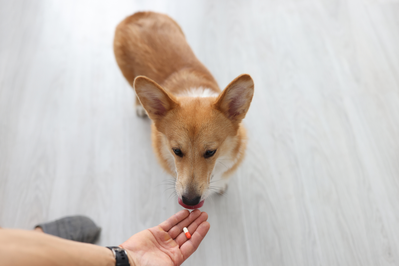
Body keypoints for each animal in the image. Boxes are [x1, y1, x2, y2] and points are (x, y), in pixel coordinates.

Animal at [114, 11, 255, 209]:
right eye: (176, 151)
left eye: (211, 152)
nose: (190, 201)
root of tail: (137, 14)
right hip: (129, 76)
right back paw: (139, 107)